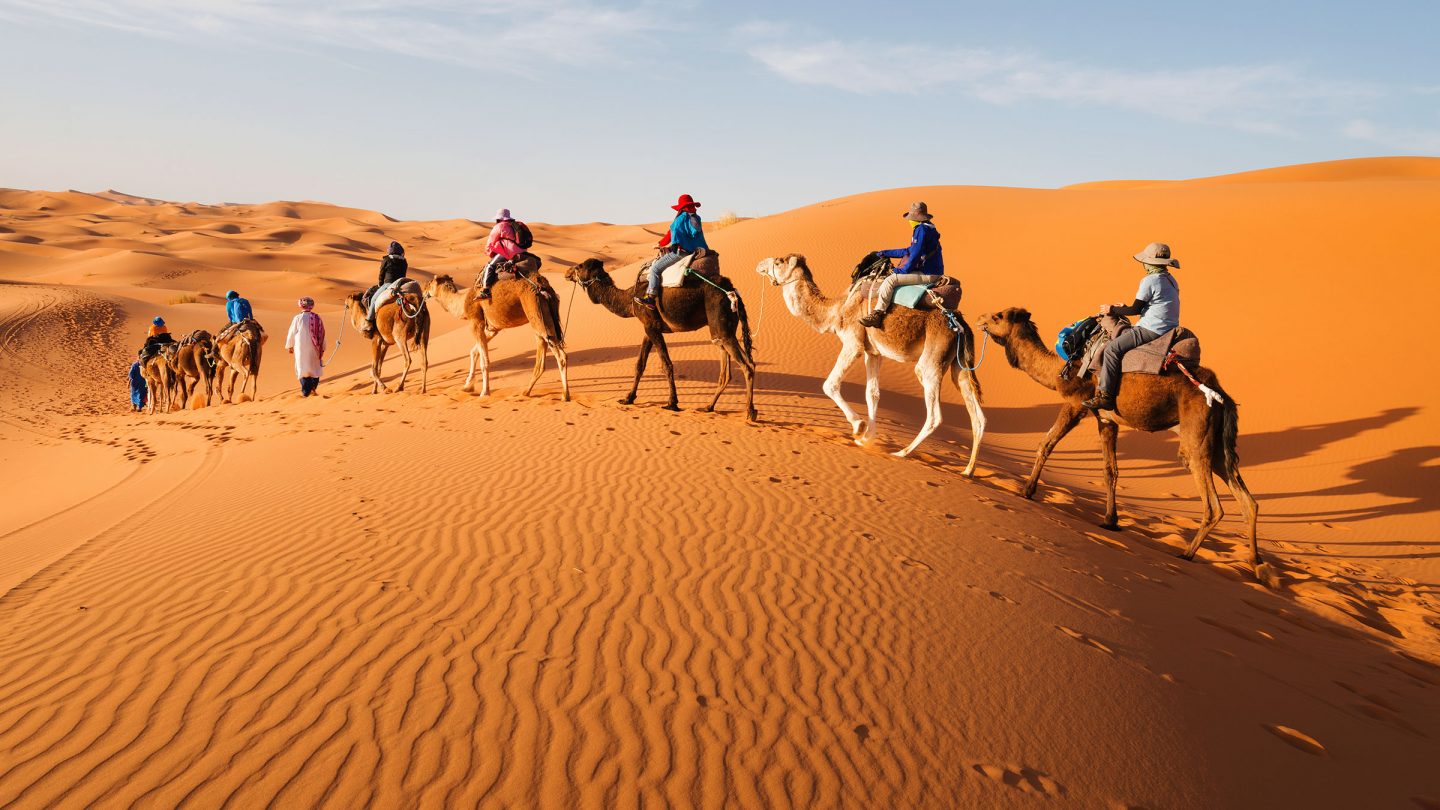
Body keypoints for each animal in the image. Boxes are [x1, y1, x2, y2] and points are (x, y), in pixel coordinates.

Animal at [420, 263, 567, 397]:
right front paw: (467, 386)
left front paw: (485, 392)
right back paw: (526, 391)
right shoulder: (493, 328)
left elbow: (484, 360)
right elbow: (474, 352)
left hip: (535, 311)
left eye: (430, 283)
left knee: (559, 354)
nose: (423, 290)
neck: (463, 302)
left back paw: (565, 395)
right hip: (544, 316)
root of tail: (544, 287)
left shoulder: (475, 322)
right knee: (543, 350)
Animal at [567, 256, 760, 423]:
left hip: (721, 326)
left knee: (748, 365)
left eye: (579, 267)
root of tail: (732, 291)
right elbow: (640, 364)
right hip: (721, 330)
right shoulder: (648, 328)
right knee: (726, 371)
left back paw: (750, 412)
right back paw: (708, 407)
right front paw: (628, 398)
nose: (567, 272)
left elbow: (666, 364)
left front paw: (672, 403)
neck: (630, 298)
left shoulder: (651, 326)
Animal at [748, 255, 984, 472]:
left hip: (932, 358)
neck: (837, 310)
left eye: (778, 262)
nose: (759, 264)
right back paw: (968, 470)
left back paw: (901, 453)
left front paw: (859, 428)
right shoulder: (873, 352)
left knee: (934, 414)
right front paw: (868, 438)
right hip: (959, 365)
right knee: (977, 417)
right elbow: (872, 393)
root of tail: (960, 324)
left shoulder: (853, 344)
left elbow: (829, 385)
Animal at [979, 305, 1261, 570]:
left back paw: (1187, 553)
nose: (980, 318)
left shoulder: (1076, 403)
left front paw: (1027, 490)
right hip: (1217, 443)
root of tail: (1222, 395)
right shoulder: (1106, 419)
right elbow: (1110, 470)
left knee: (1213, 504)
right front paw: (1110, 520)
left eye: (998, 316)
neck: (1061, 368)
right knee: (1247, 500)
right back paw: (1256, 564)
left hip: (1196, 435)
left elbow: (1046, 443)